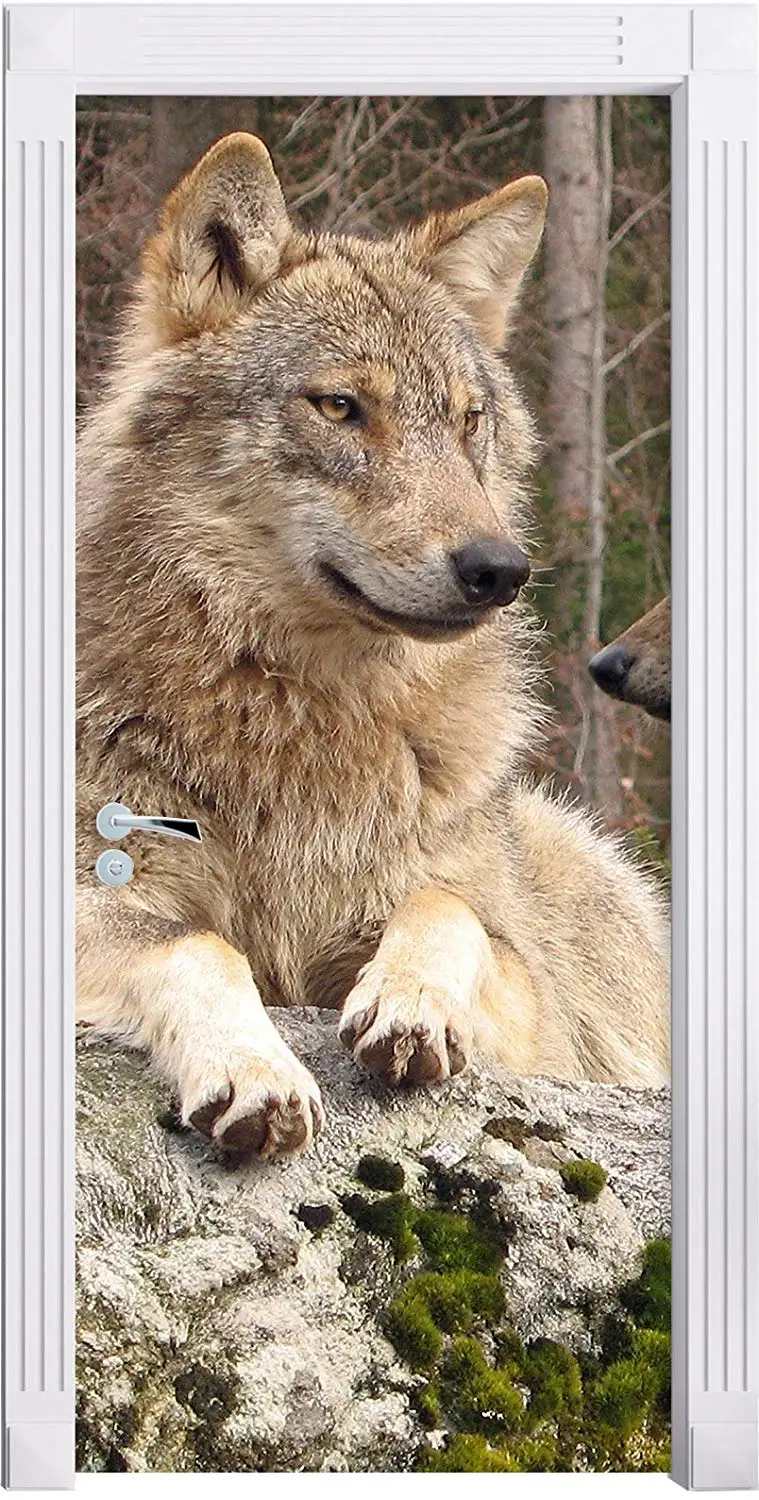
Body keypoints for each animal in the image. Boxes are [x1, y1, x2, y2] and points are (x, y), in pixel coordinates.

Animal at [76, 134, 669, 1158]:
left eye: (469, 418)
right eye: (341, 406)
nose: (498, 568)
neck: (295, 713)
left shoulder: (529, 1000)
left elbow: (448, 910)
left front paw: (413, 1003)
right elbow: (195, 942)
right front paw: (254, 1066)